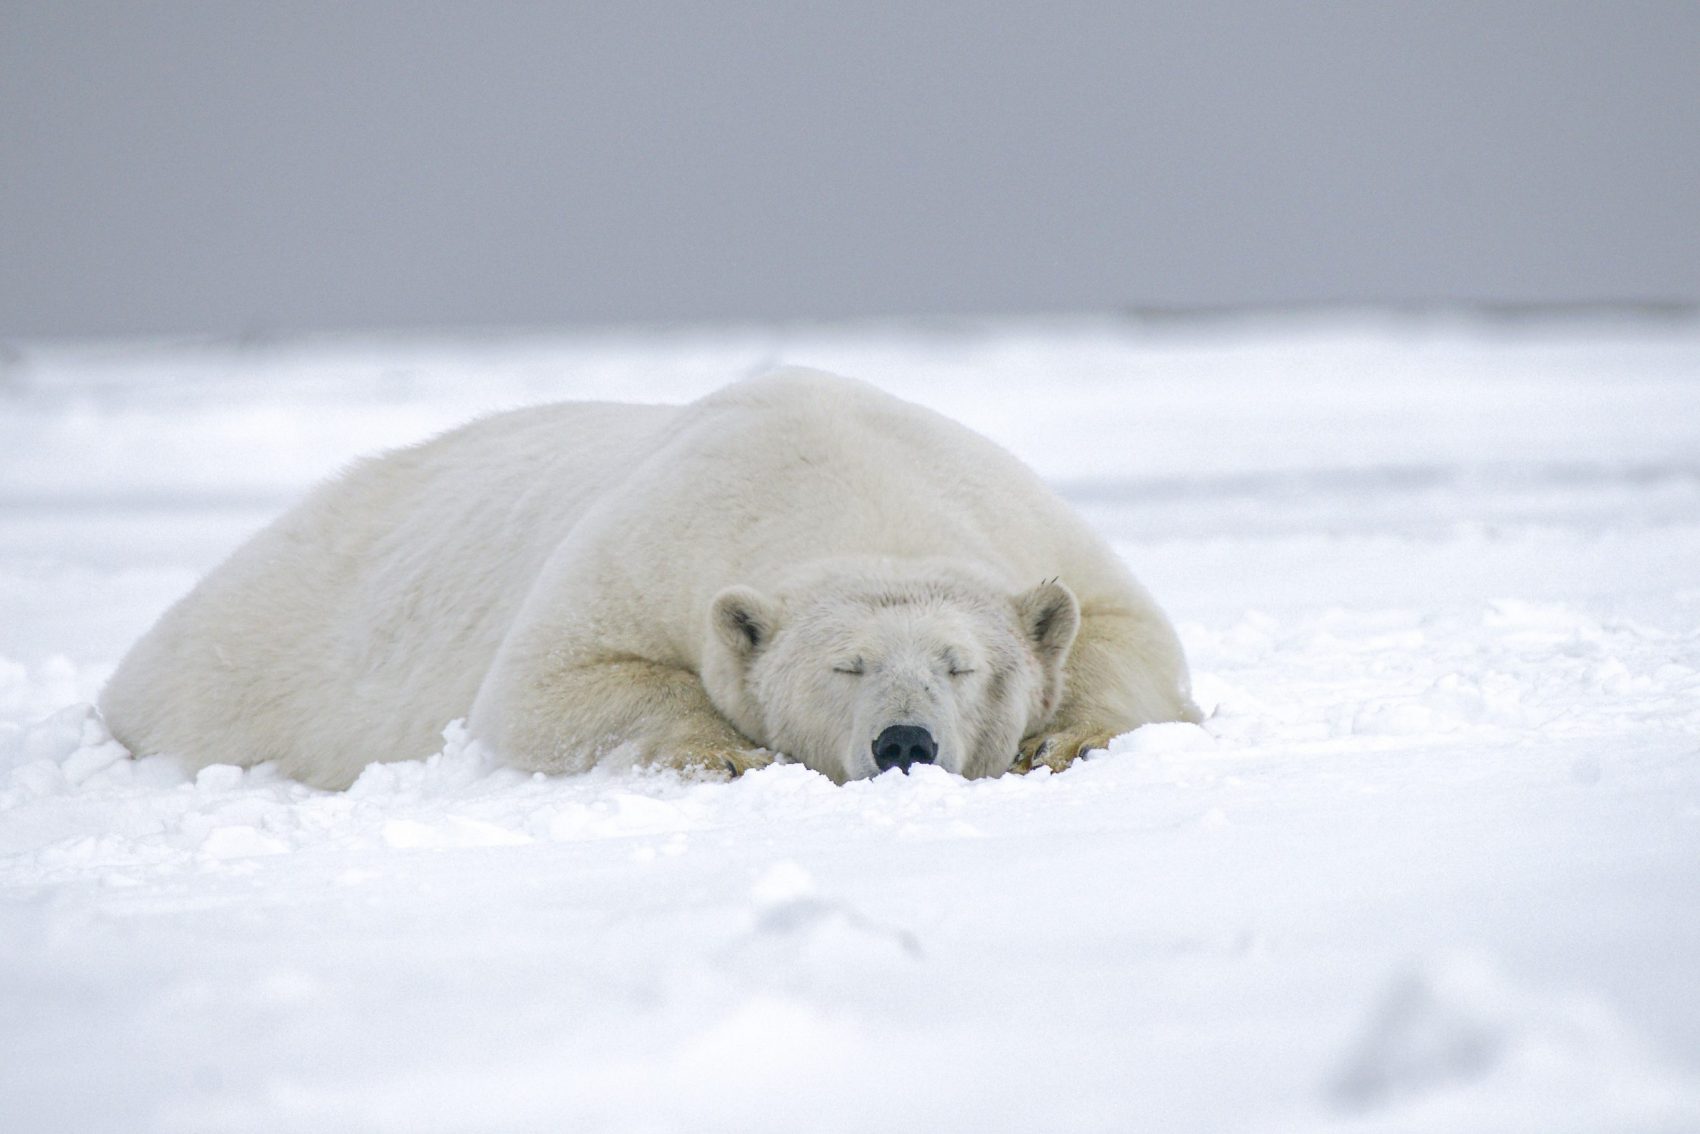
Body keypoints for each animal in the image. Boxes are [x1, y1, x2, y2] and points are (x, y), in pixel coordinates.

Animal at [102, 368, 1196, 785]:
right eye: (842, 667)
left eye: (960, 665)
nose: (903, 742)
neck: (844, 478)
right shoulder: (652, 544)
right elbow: (550, 688)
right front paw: (727, 754)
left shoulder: (1016, 515)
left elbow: (1125, 633)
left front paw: (1064, 737)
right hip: (244, 665)